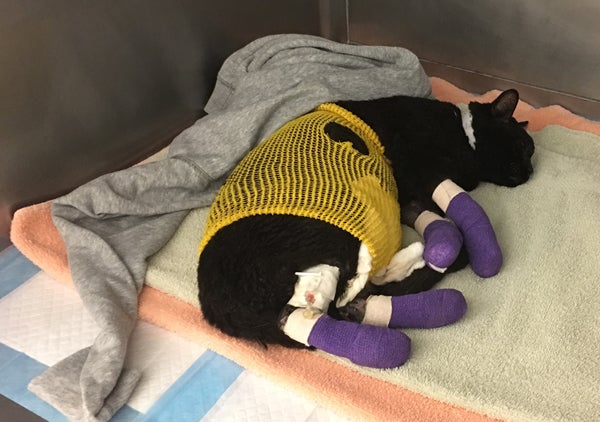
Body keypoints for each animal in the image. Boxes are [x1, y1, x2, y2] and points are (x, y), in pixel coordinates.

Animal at [197, 90, 536, 368]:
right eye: (524, 146)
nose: (530, 173)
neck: (460, 129)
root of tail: (219, 304)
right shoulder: (418, 171)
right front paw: (453, 245)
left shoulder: (413, 191)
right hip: (330, 235)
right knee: (346, 294)